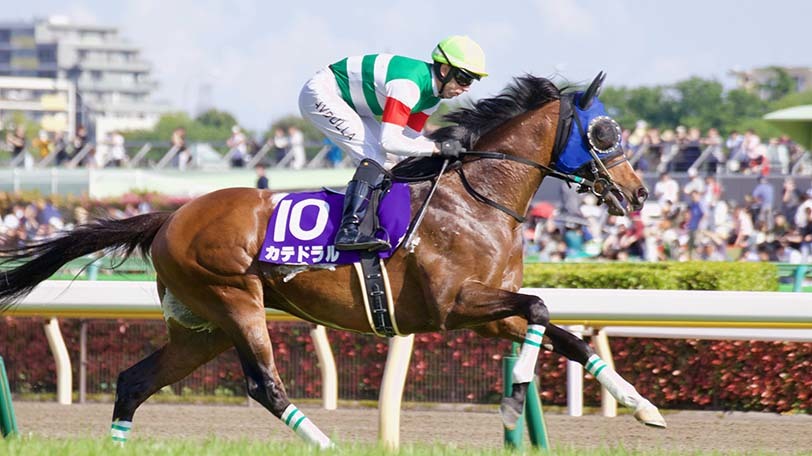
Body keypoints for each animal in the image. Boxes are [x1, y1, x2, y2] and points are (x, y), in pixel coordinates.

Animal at [0, 73, 663, 448]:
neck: (478, 198)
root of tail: (167, 217)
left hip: (200, 327)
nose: (638, 194)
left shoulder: (484, 313)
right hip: (234, 301)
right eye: (605, 132)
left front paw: (643, 407)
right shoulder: (455, 305)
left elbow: (561, 332)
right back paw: (325, 444)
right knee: (264, 385)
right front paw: (512, 397)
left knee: (135, 381)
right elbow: (541, 308)